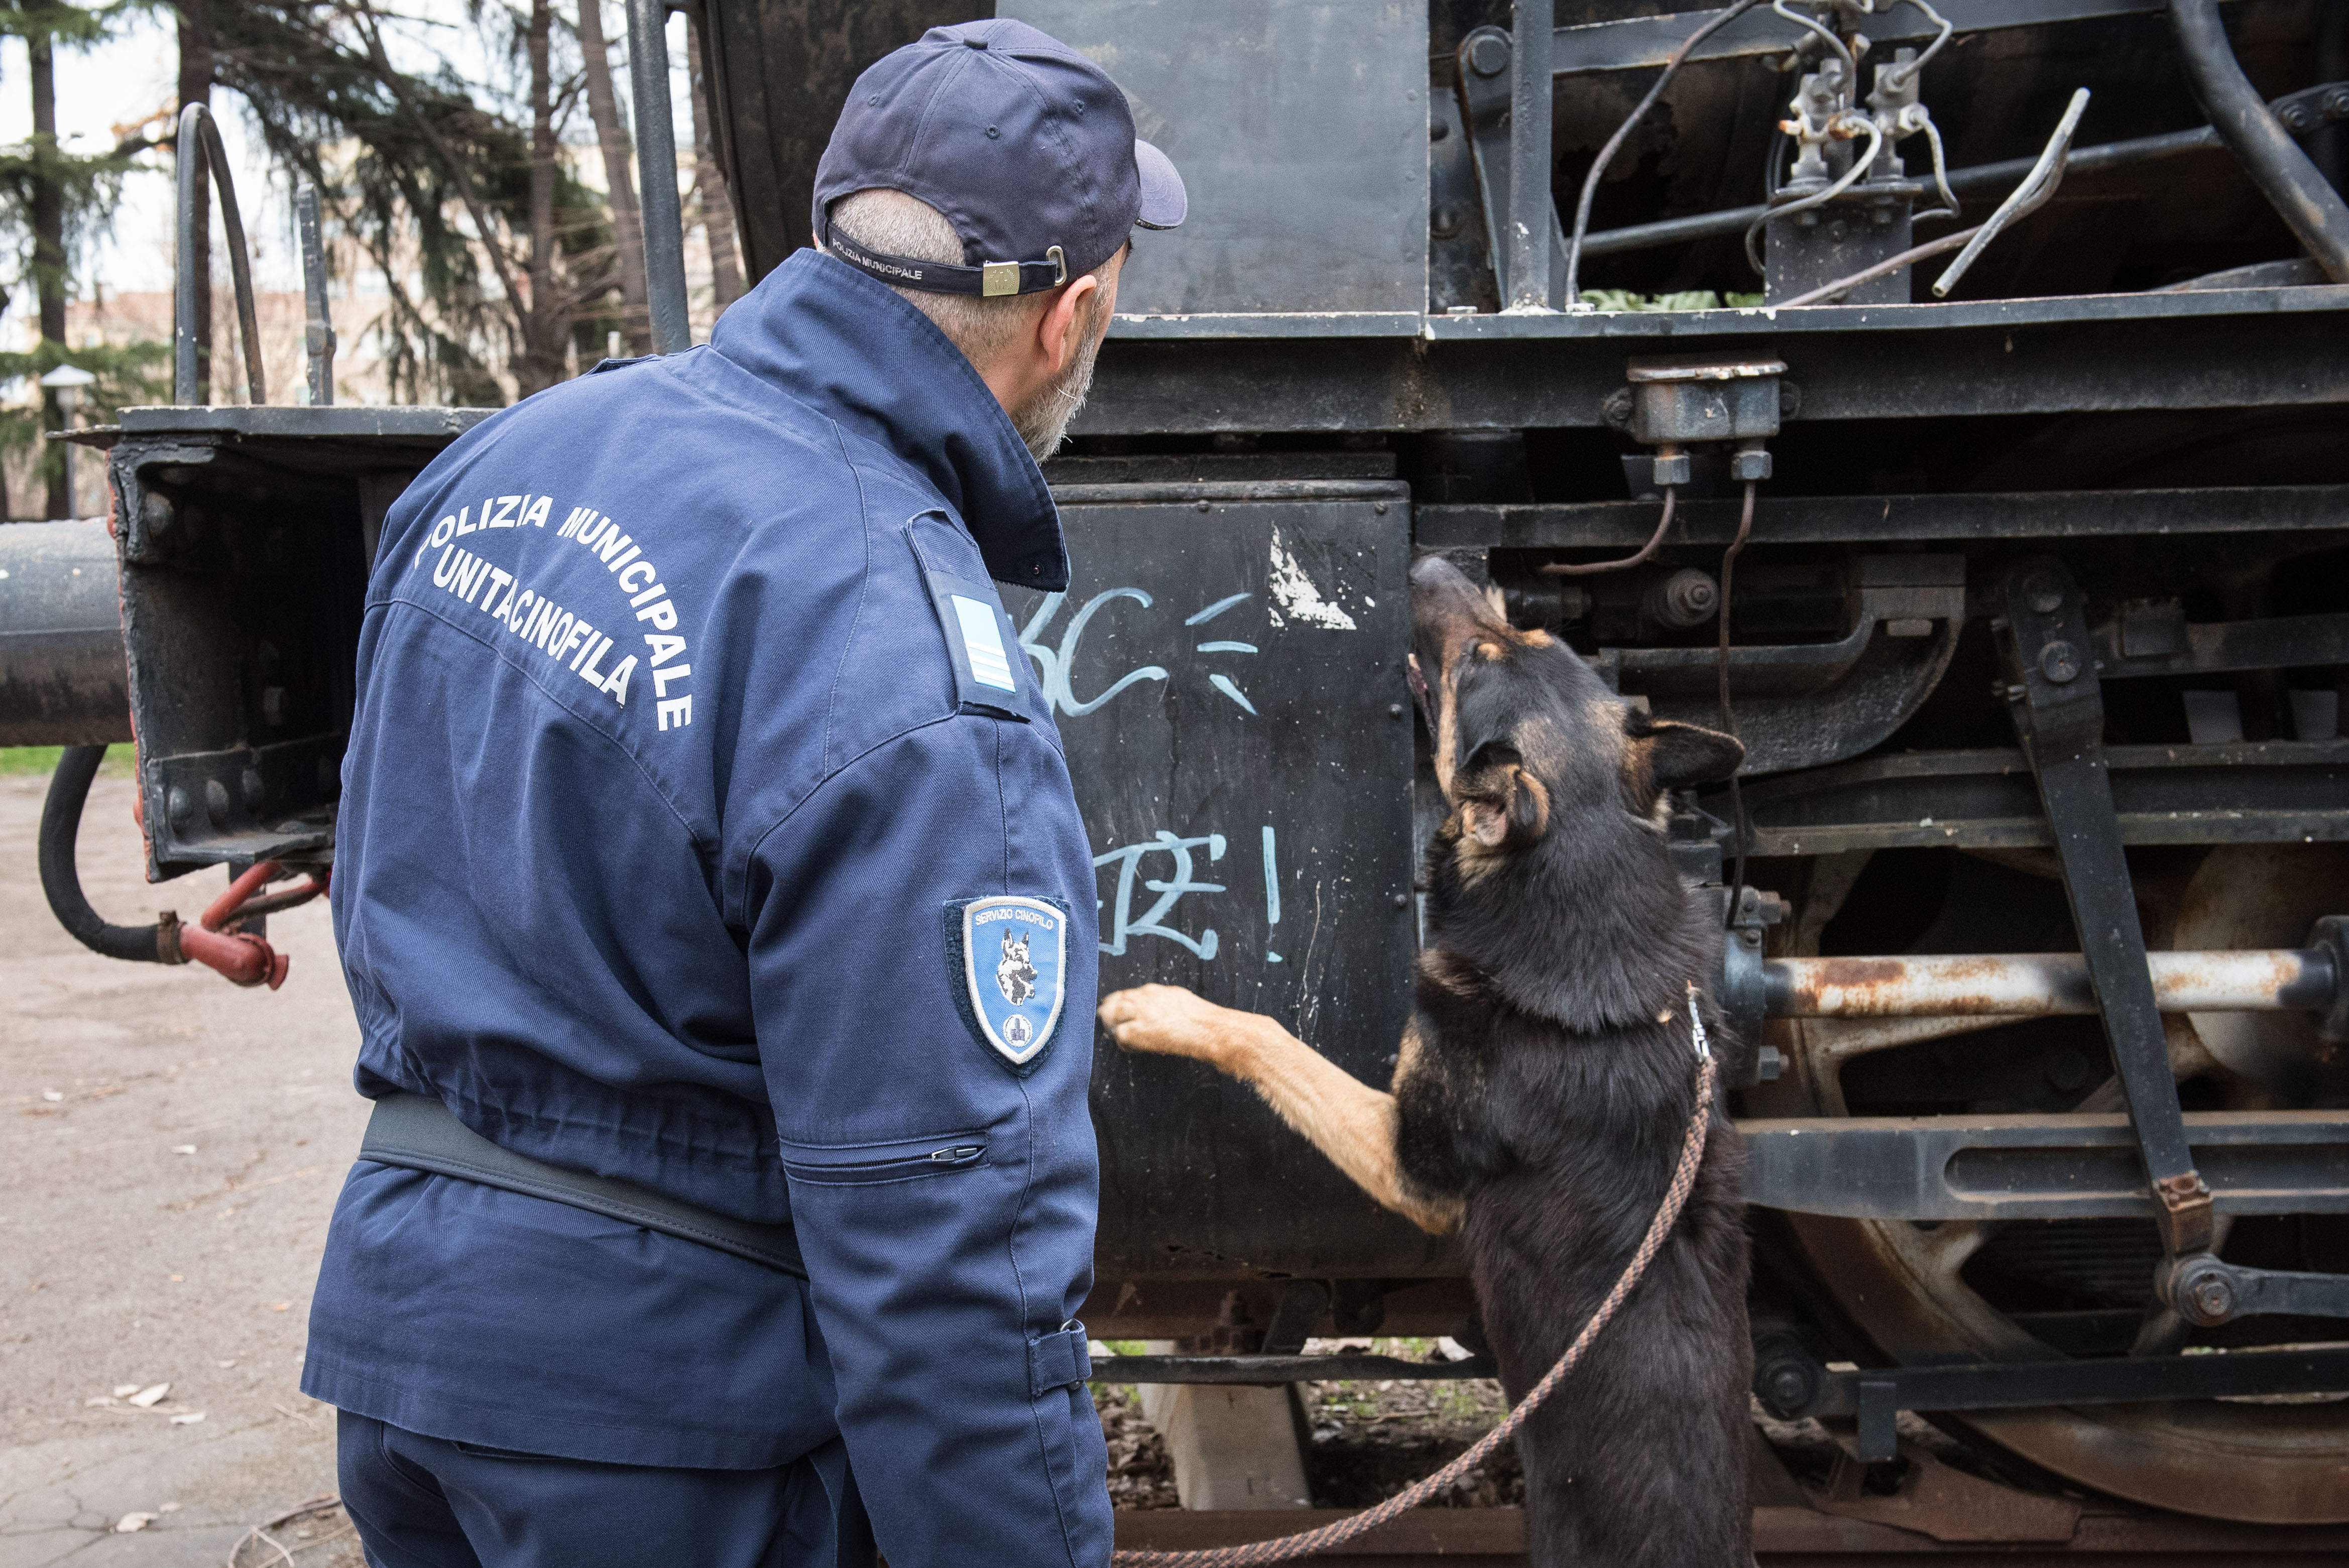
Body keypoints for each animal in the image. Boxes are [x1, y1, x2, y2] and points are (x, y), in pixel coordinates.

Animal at [1094, 554, 1747, 1568]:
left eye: (1472, 660)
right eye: (1529, 637)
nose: (1434, 562)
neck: (1587, 909)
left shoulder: (1411, 1162)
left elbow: (1270, 1035)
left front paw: (1162, 1009)